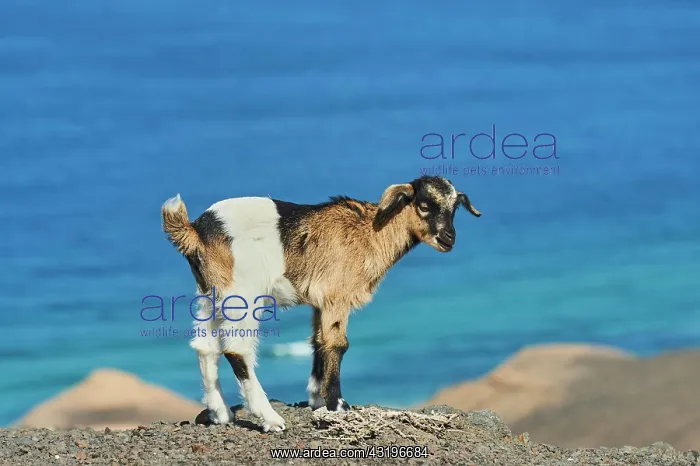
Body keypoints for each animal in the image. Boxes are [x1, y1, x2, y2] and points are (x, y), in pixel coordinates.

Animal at [161, 175, 481, 432]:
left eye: (455, 208)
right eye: (424, 205)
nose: (449, 238)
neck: (370, 231)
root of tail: (194, 231)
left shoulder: (320, 302)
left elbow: (317, 341)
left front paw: (316, 398)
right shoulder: (337, 296)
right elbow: (337, 344)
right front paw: (337, 404)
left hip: (210, 292)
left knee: (204, 346)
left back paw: (221, 414)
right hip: (243, 295)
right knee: (236, 350)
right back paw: (270, 419)